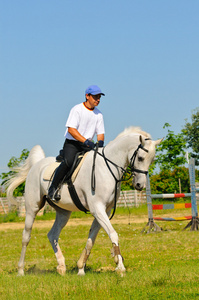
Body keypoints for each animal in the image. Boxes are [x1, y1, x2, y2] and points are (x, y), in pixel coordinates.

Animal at [6, 125, 162, 276]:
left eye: (152, 160)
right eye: (140, 158)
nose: (140, 185)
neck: (107, 167)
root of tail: (37, 165)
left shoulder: (105, 210)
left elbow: (91, 239)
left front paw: (81, 268)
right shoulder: (97, 208)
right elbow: (113, 234)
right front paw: (120, 267)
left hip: (63, 212)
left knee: (53, 234)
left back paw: (61, 266)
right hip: (32, 208)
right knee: (26, 236)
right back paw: (20, 270)